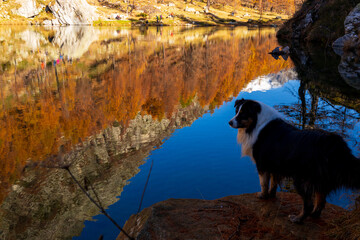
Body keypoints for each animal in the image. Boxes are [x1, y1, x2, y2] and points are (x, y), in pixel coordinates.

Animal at [229, 97, 358, 223]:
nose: (229, 122)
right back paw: (314, 215)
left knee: (309, 204)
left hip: (302, 179)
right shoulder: (275, 164)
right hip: (320, 179)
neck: (257, 124)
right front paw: (271, 196)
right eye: (236, 112)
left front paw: (263, 196)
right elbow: (274, 183)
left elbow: (264, 183)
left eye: (243, 113)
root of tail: (333, 143)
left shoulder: (262, 164)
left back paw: (298, 219)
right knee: (321, 200)